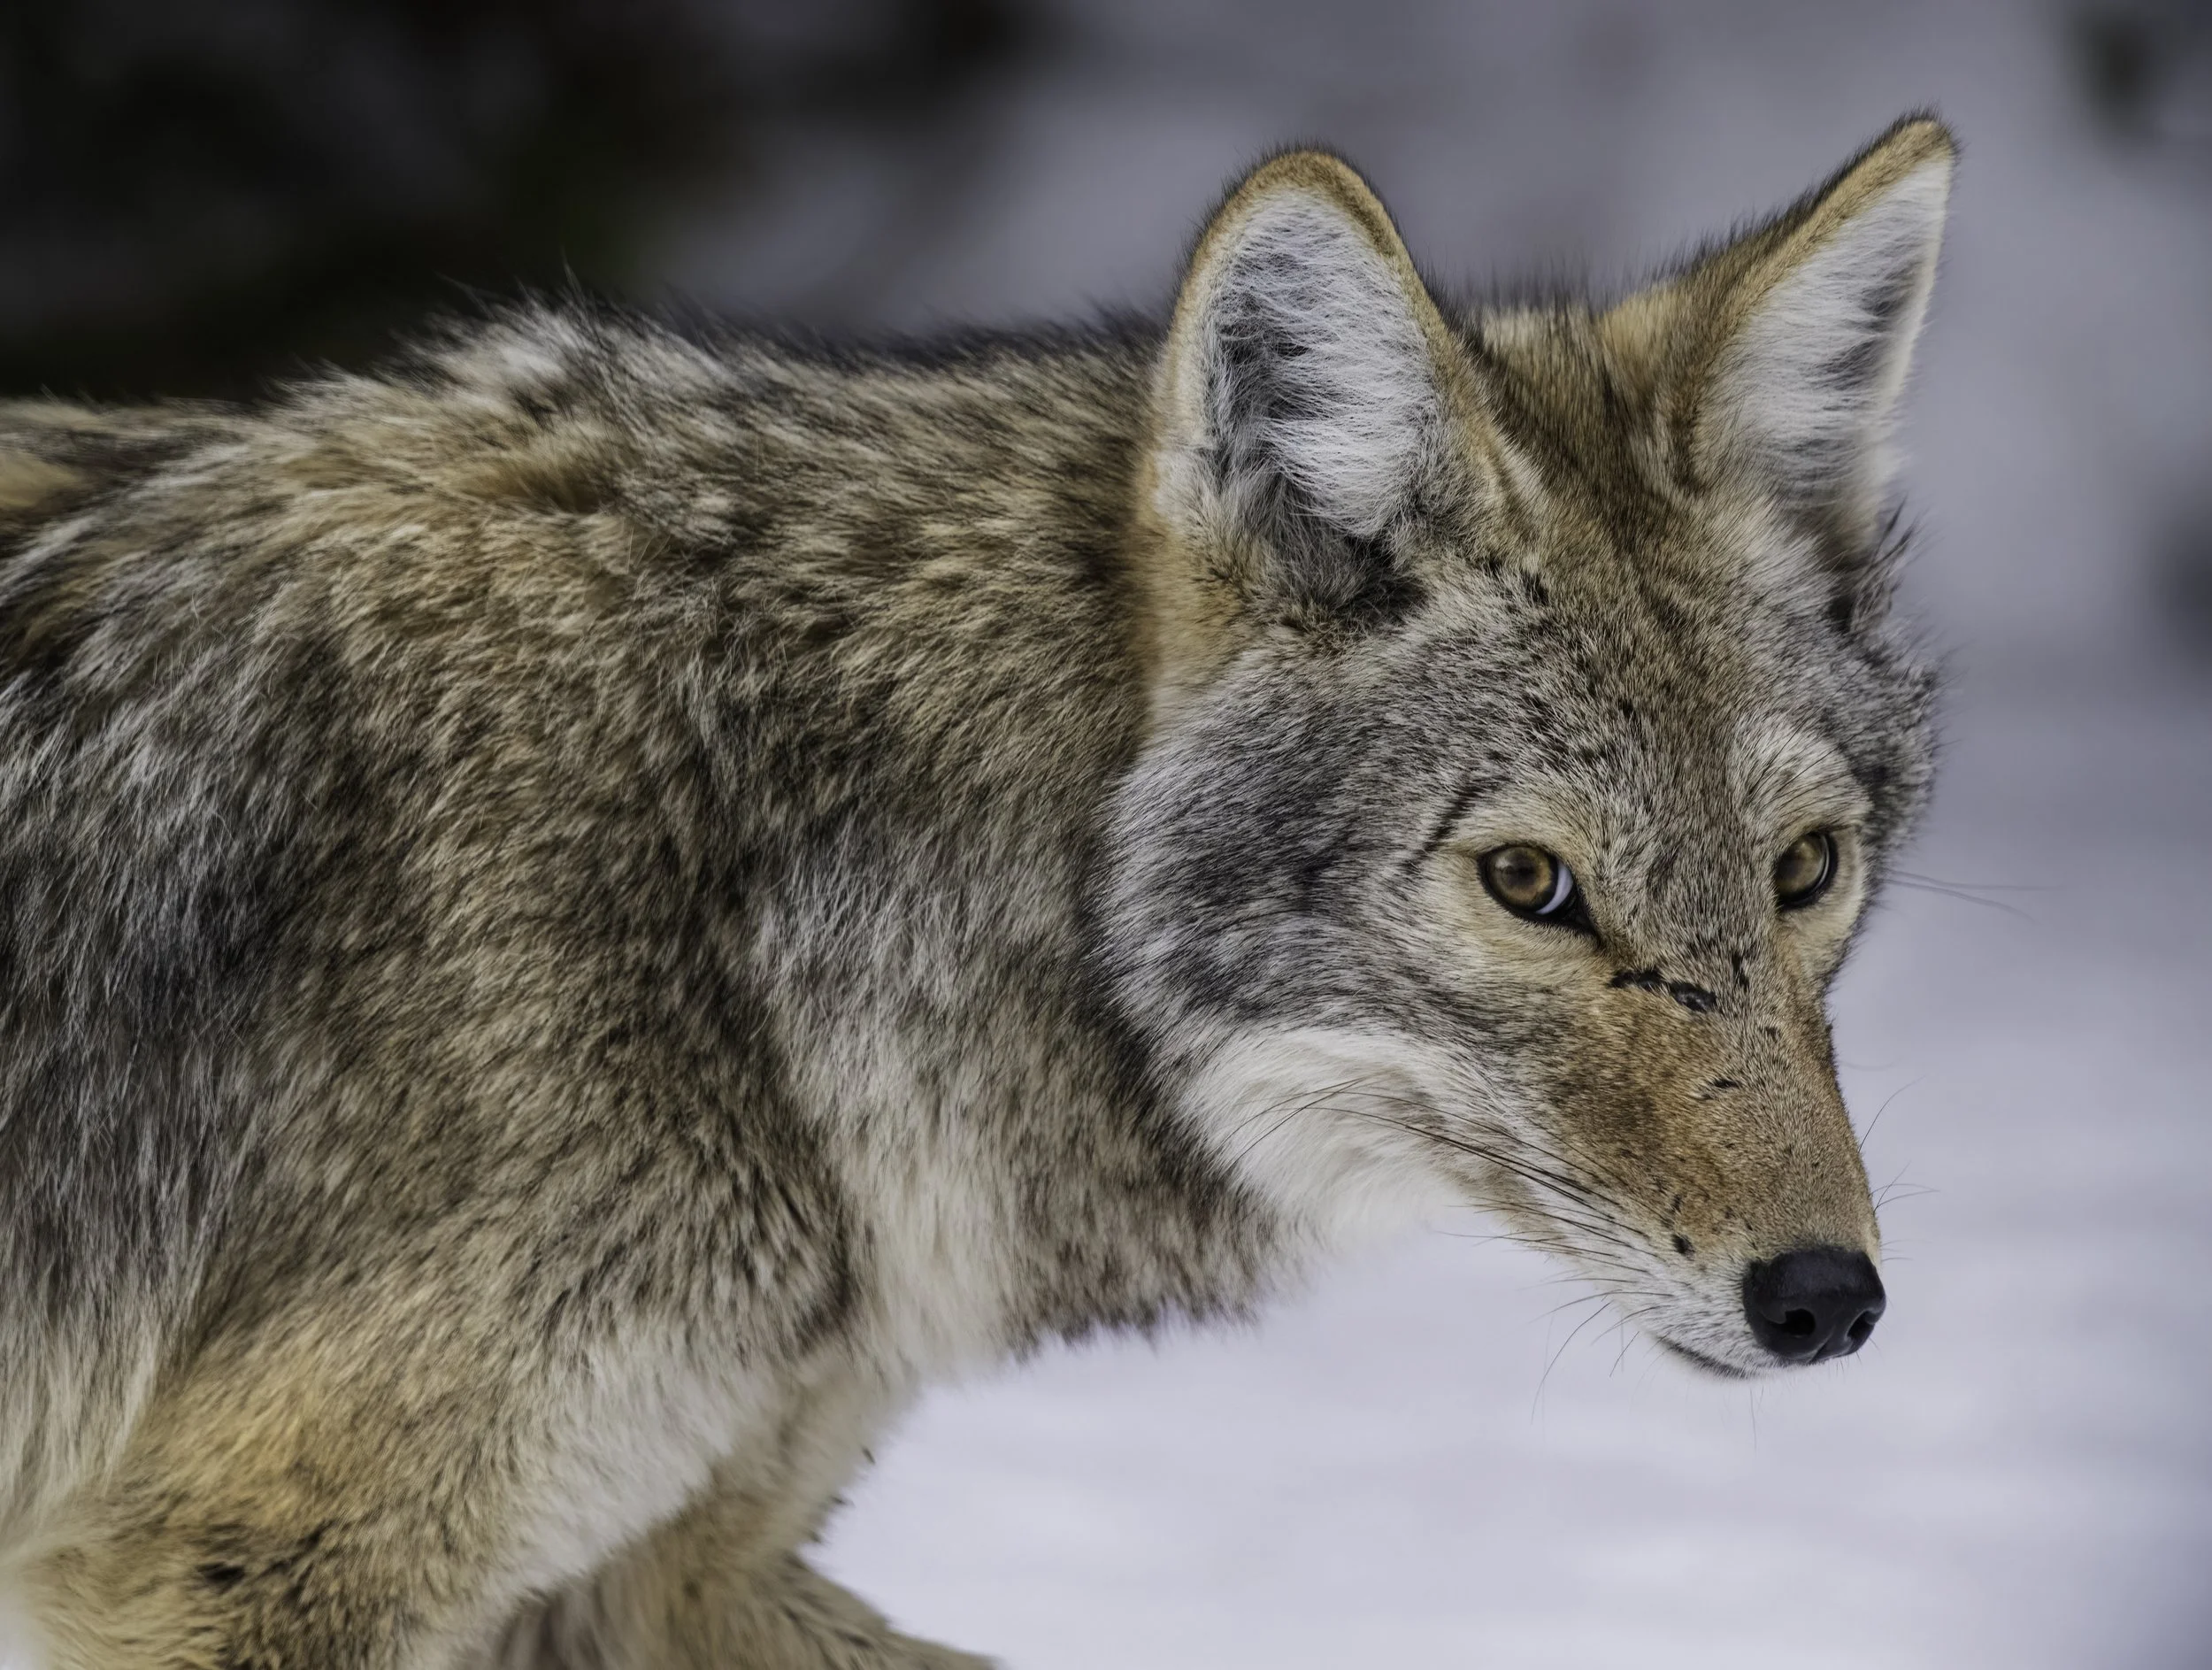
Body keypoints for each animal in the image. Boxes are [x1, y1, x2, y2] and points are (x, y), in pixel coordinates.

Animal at [0, 114, 1952, 1665]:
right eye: (1533, 884)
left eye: (1803, 869)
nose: (1825, 1302)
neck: (749, 883)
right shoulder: (228, 1573)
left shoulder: (663, 1576)